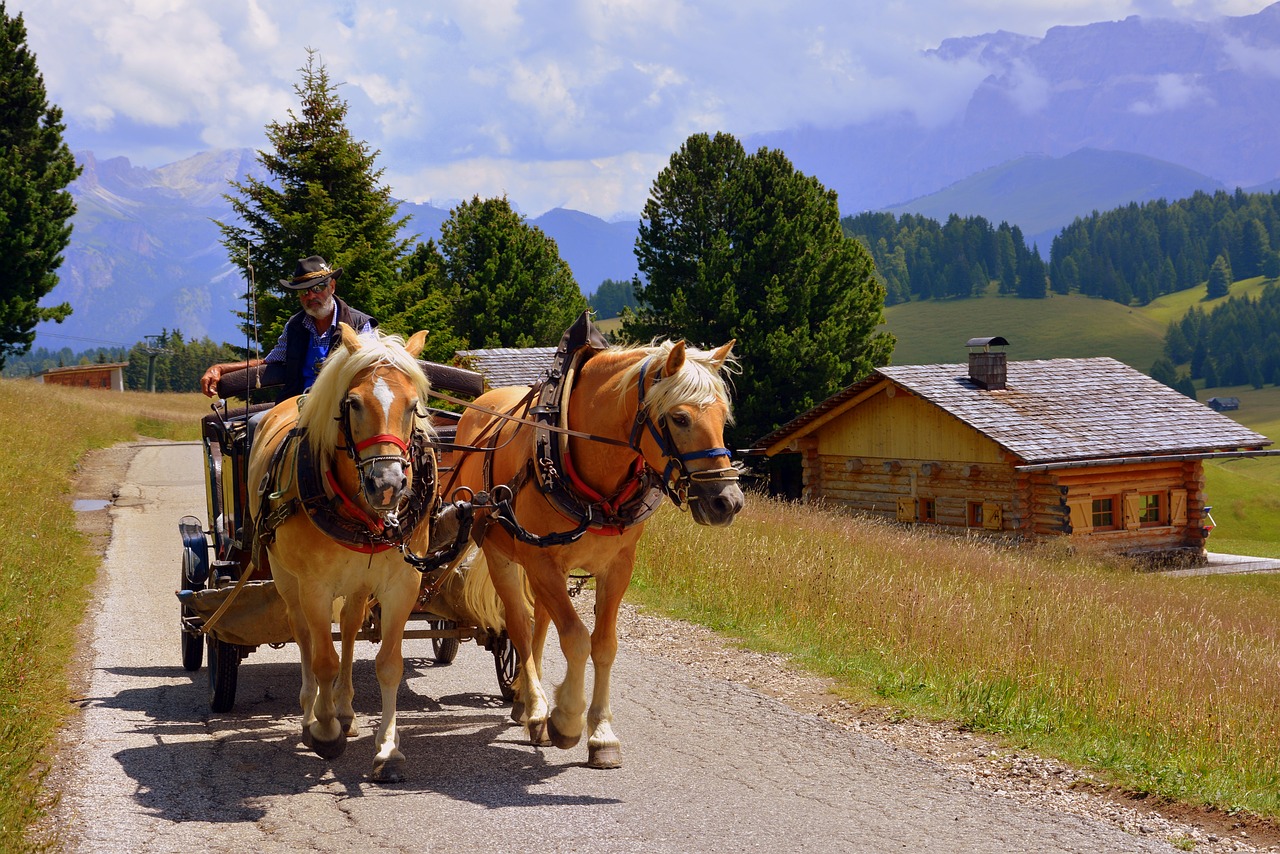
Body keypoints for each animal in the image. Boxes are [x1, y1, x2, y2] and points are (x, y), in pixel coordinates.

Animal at [244, 322, 435, 783]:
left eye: (413, 406)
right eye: (353, 403)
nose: (388, 484)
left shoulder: (402, 583)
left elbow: (389, 663)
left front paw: (387, 750)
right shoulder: (315, 585)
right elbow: (323, 659)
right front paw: (324, 730)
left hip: (359, 583)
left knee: (348, 629)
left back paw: (345, 710)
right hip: (286, 578)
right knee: (304, 637)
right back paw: (310, 711)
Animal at [453, 312, 747, 768]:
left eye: (722, 416)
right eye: (680, 418)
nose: (727, 501)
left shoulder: (618, 566)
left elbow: (604, 644)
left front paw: (602, 734)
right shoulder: (541, 562)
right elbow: (574, 637)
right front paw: (567, 719)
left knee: (538, 624)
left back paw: (524, 704)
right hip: (503, 553)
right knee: (519, 624)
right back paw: (535, 706)